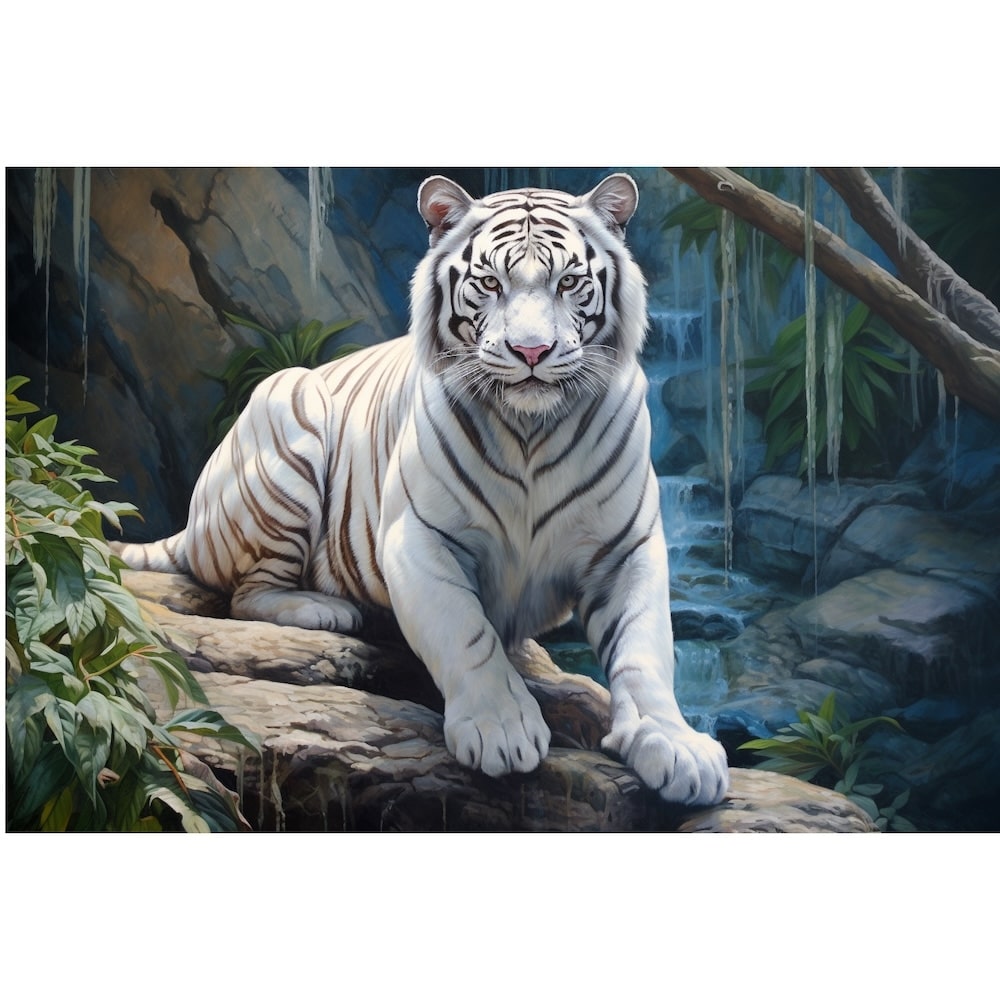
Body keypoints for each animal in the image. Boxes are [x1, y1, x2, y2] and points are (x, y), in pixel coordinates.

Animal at [117, 173, 730, 807]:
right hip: (287, 417)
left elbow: (644, 649)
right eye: (491, 283)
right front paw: (499, 729)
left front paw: (676, 745)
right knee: (247, 594)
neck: (531, 430)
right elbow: (467, 633)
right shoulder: (418, 537)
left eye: (568, 282)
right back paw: (324, 609)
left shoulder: (625, 549)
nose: (531, 352)